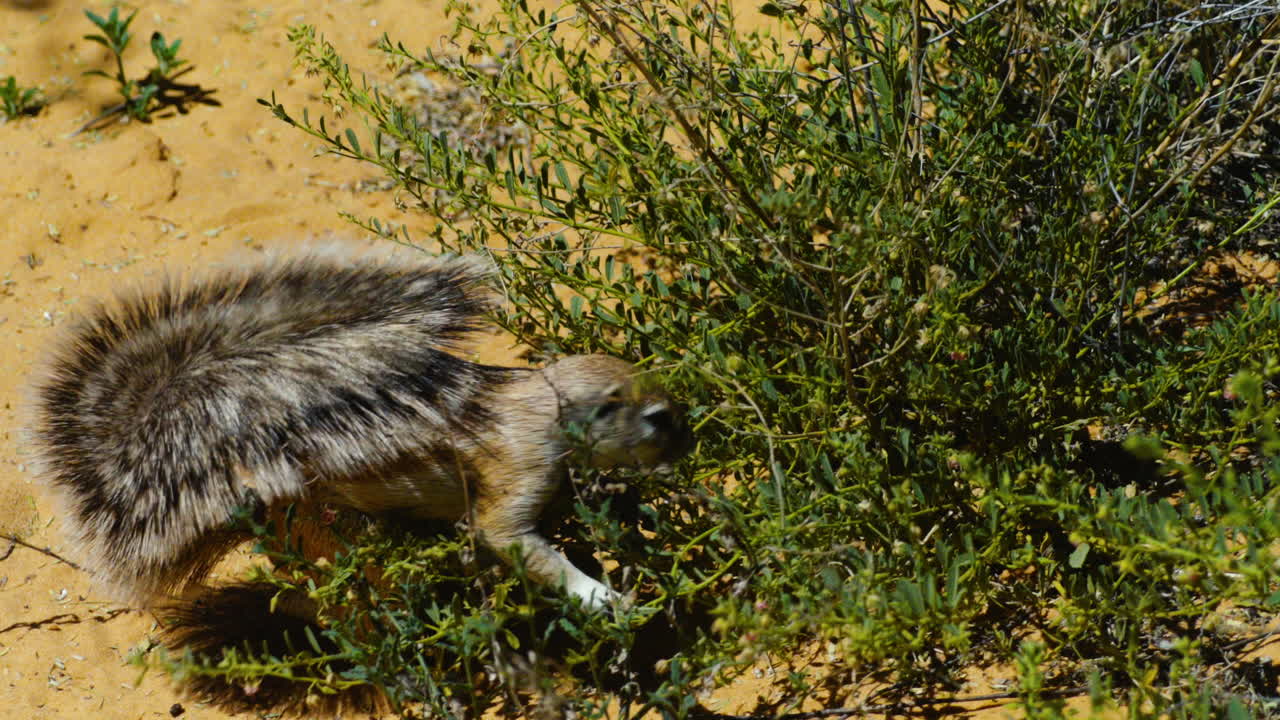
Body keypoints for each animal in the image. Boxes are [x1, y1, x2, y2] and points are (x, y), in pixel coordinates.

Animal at [28, 248, 692, 615]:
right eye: (657, 420)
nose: (688, 448)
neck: (538, 401)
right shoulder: (520, 464)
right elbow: (506, 536)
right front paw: (606, 600)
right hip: (314, 517)